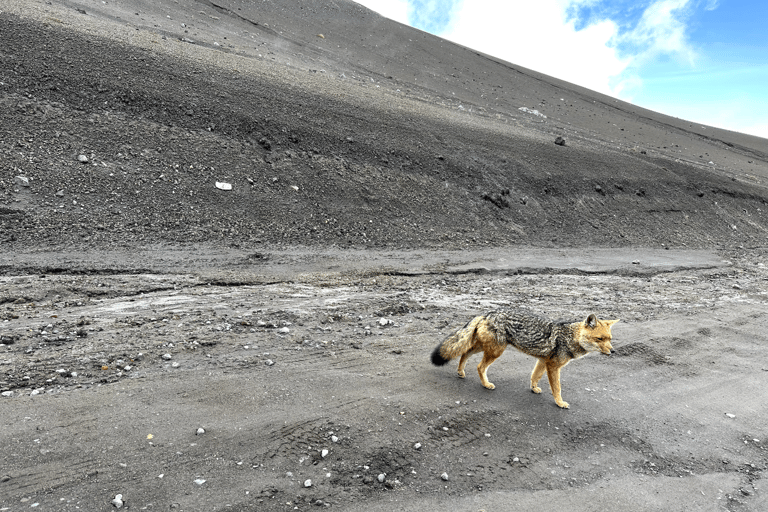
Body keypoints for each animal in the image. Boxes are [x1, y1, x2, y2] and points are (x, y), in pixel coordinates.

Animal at [432, 310, 616, 410]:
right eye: (600, 339)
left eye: (610, 339)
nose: (613, 351)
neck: (570, 337)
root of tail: (487, 314)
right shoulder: (553, 365)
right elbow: (557, 388)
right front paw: (560, 403)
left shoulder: (543, 361)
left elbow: (535, 376)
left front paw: (534, 388)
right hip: (495, 351)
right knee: (479, 366)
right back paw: (485, 384)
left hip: (484, 347)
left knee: (464, 353)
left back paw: (460, 371)